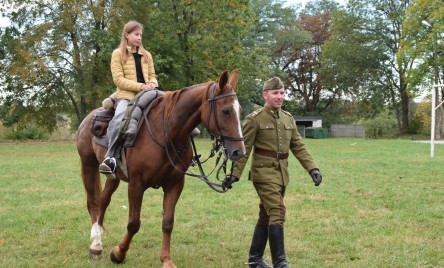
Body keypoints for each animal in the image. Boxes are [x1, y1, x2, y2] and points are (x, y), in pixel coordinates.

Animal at [74, 69, 245, 266]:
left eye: (240, 110)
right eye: (225, 111)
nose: (239, 152)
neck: (166, 133)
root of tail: (90, 117)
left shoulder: (175, 185)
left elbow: (168, 223)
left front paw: (166, 260)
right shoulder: (136, 185)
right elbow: (133, 223)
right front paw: (118, 253)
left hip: (114, 176)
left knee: (103, 201)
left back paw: (98, 240)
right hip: (88, 165)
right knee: (93, 203)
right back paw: (95, 246)